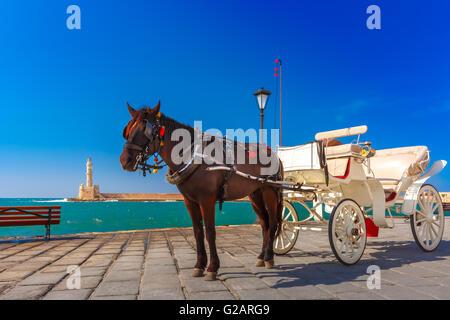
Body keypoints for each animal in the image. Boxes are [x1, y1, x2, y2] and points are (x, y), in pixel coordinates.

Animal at [119, 102, 282, 280]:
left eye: (145, 130)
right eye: (127, 130)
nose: (124, 160)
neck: (192, 156)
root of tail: (273, 154)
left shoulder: (207, 199)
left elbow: (210, 232)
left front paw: (212, 268)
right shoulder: (189, 201)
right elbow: (197, 232)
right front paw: (199, 265)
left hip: (270, 191)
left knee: (273, 223)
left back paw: (269, 258)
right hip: (255, 194)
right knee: (265, 224)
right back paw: (261, 257)